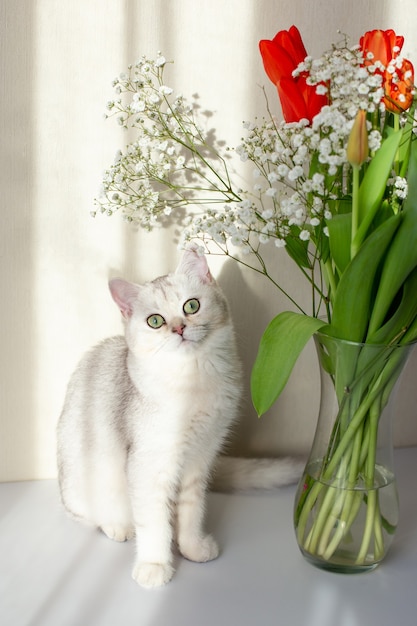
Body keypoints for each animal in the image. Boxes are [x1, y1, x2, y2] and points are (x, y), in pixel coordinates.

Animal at [56, 247, 302, 584]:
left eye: (191, 305)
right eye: (155, 321)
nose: (179, 328)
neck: (194, 381)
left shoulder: (200, 458)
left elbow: (191, 511)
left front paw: (192, 548)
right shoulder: (149, 466)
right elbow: (154, 523)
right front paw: (155, 565)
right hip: (86, 485)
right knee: (95, 516)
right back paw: (118, 526)